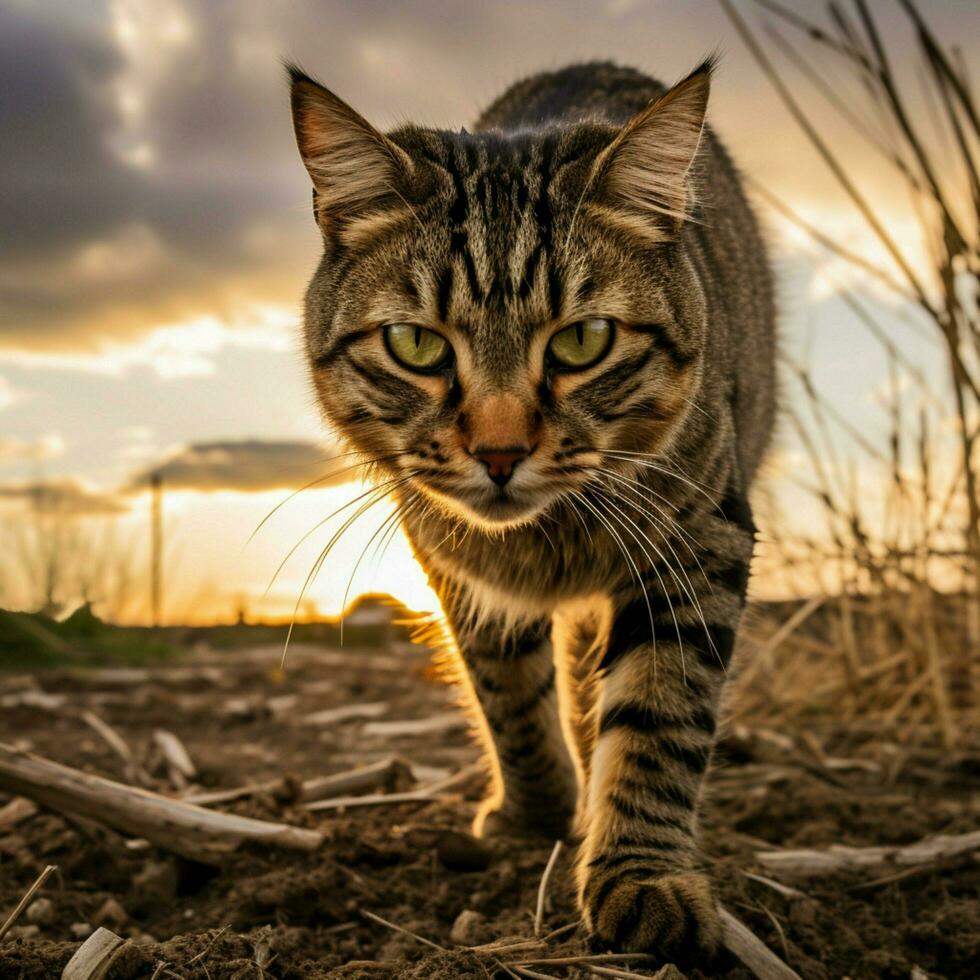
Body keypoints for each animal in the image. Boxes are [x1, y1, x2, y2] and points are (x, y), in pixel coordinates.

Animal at [288, 55, 776, 956]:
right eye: (417, 345)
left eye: (583, 340)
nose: (500, 452)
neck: (552, 535)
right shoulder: (459, 565)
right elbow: (507, 695)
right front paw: (539, 815)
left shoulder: (700, 541)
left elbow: (660, 713)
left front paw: (640, 874)